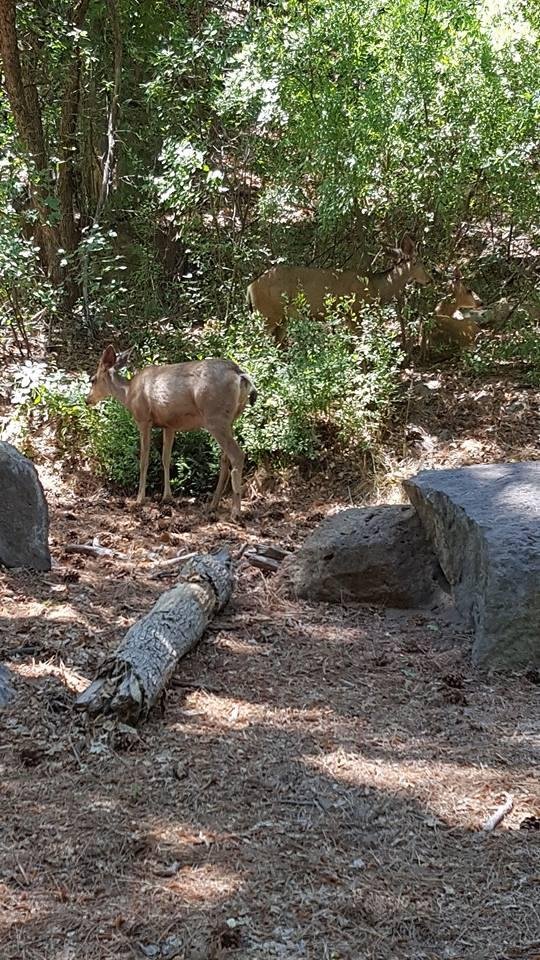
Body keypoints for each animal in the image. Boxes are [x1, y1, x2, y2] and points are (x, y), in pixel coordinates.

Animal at [86, 345, 257, 520]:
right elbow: (166, 458)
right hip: (230, 419)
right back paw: (213, 505)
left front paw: (139, 499)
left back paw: (236, 512)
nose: (87, 400)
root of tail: (239, 373)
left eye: (92, 379)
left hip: (215, 417)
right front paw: (167, 497)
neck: (128, 395)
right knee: (225, 459)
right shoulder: (169, 425)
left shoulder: (144, 420)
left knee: (237, 455)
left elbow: (144, 460)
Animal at [246, 234, 431, 341]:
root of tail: (250, 287)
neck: (375, 287)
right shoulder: (355, 312)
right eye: (420, 262)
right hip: (267, 313)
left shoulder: (348, 318)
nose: (430, 279)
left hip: (281, 318)